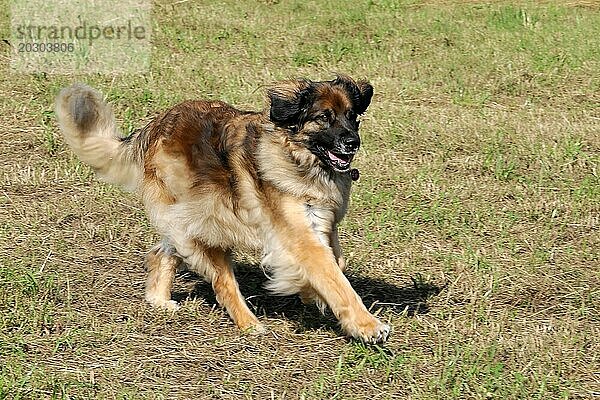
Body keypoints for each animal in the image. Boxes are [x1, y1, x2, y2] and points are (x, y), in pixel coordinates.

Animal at [56, 76, 392, 342]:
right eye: (324, 117)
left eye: (352, 116)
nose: (353, 142)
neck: (298, 157)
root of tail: (155, 125)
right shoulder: (298, 234)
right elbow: (335, 280)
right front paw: (367, 326)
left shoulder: (322, 224)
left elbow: (337, 265)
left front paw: (310, 292)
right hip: (208, 224)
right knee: (222, 284)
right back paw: (249, 324)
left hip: (190, 220)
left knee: (162, 252)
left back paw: (159, 300)